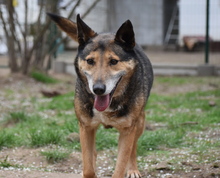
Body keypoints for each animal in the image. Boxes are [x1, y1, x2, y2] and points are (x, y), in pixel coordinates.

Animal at [46, 13, 153, 177]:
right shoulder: (85, 127)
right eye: (90, 61)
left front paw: (127, 168)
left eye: (114, 61)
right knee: (92, 154)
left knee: (133, 147)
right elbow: (88, 167)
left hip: (140, 122)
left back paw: (133, 169)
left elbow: (121, 165)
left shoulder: (128, 130)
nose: (98, 89)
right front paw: (90, 171)